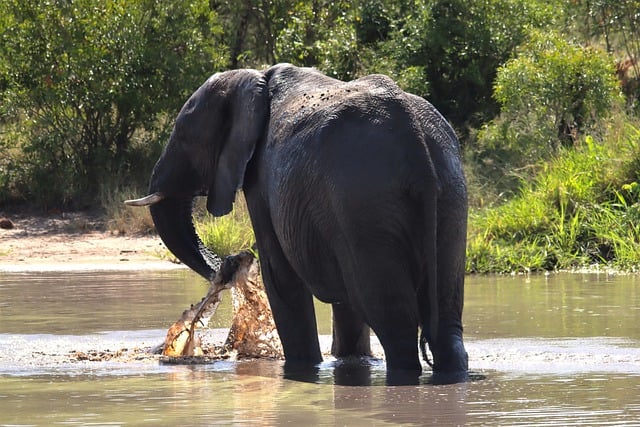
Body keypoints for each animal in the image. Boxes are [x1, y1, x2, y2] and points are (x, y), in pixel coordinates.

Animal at [127, 64, 470, 388]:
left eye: (184, 136)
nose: (231, 262)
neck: (255, 80)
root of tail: (415, 138)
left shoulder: (261, 179)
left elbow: (280, 276)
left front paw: (301, 368)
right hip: (448, 195)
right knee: (445, 321)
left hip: (365, 203)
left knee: (394, 324)